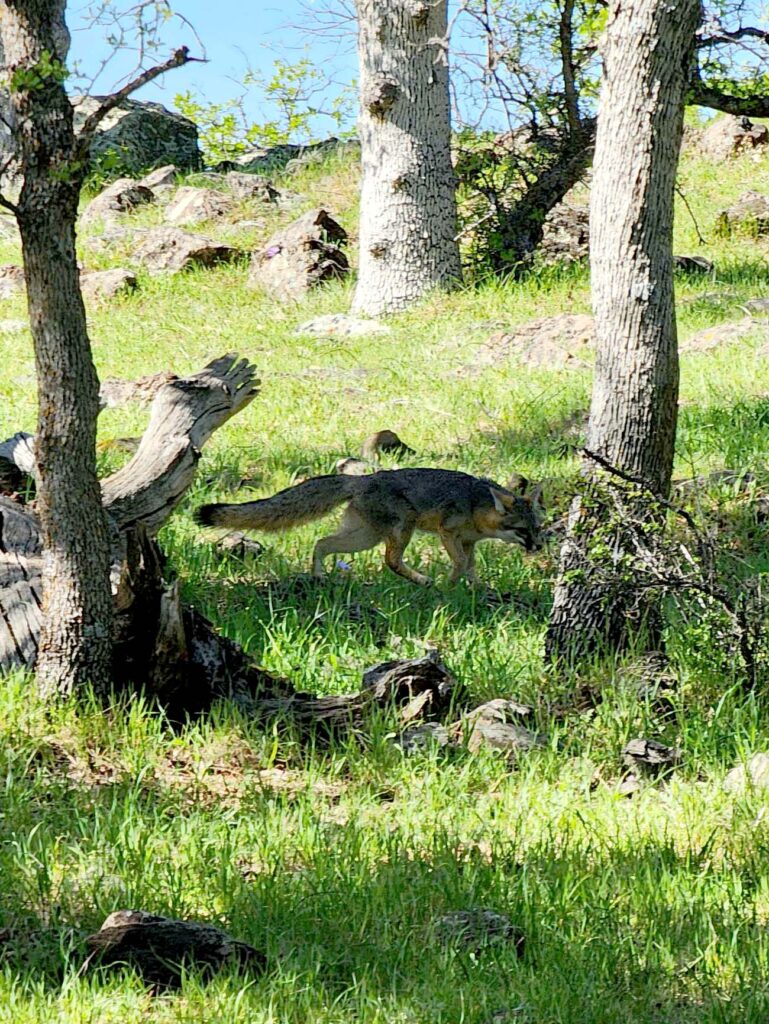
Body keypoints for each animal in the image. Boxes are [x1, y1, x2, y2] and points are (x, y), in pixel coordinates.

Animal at [195, 468, 545, 586]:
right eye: (523, 531)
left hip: (364, 537)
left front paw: (477, 587)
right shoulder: (448, 532)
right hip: (401, 529)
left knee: (322, 543)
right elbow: (459, 562)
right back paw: (423, 580)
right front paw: (450, 584)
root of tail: (361, 479)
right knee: (390, 560)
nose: (540, 546)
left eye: (538, 528)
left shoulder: (470, 541)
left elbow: (471, 565)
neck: (476, 504)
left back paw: (319, 575)